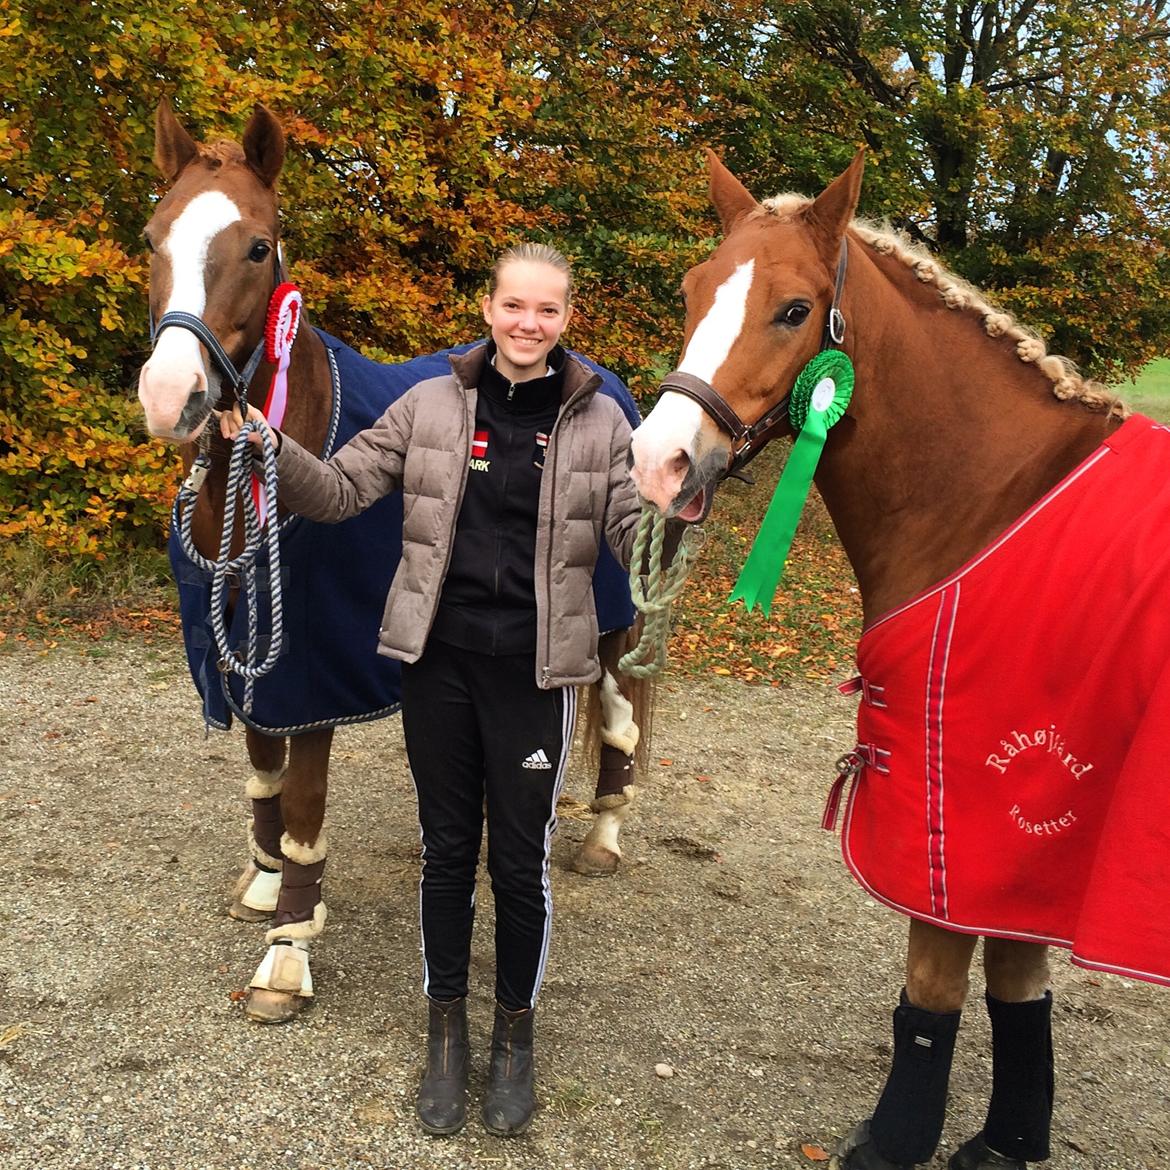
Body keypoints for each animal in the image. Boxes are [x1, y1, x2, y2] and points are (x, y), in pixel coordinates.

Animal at [631, 153, 1170, 1170]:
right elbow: (1018, 984)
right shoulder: (1032, 854)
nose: (659, 461)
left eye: (794, 309)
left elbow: (936, 986)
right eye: (690, 290)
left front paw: (894, 1140)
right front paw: (1007, 1142)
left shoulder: (964, 810)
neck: (999, 498)